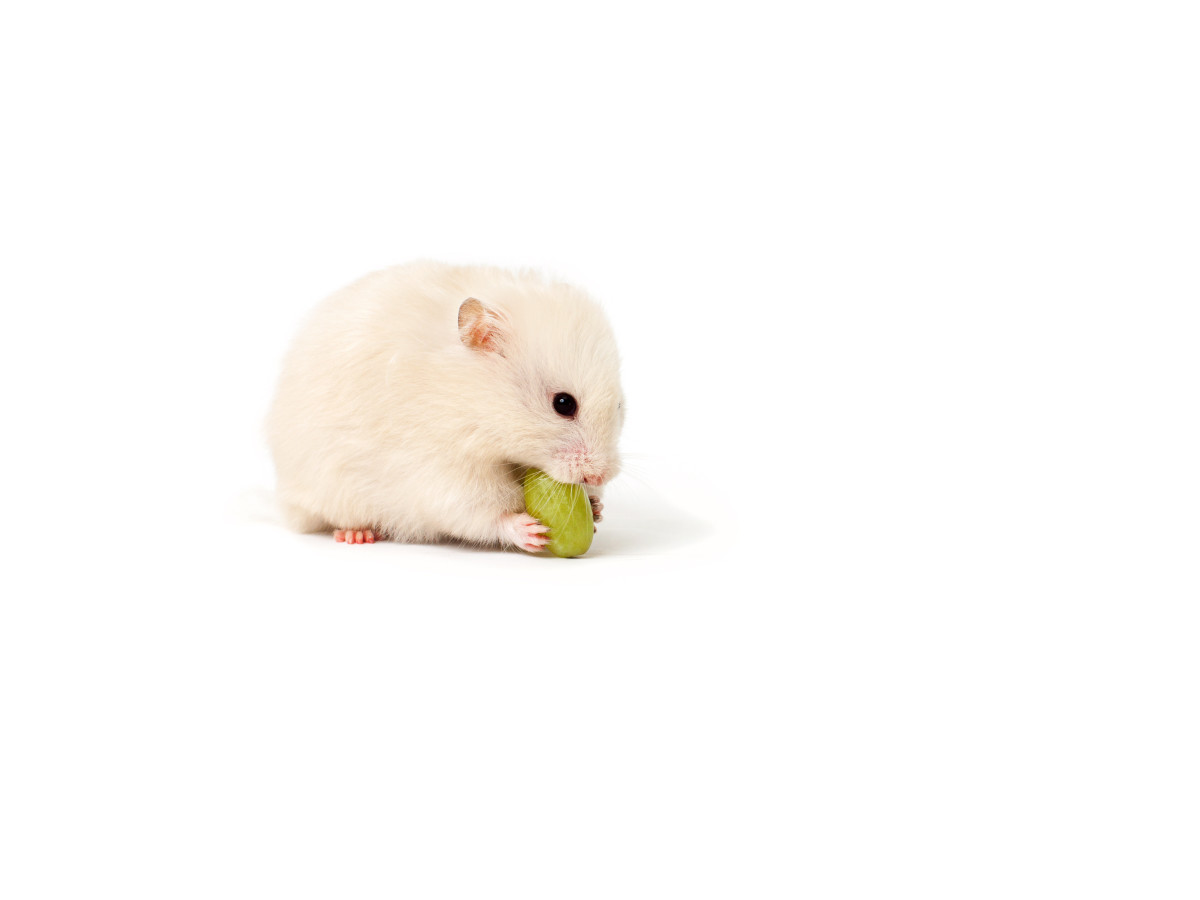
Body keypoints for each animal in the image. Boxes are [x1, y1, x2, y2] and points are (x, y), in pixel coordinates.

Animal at [266, 260, 625, 552]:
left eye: (620, 405)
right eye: (563, 404)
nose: (601, 475)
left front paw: (596, 508)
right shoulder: (443, 470)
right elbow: (479, 513)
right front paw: (530, 531)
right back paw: (357, 535)